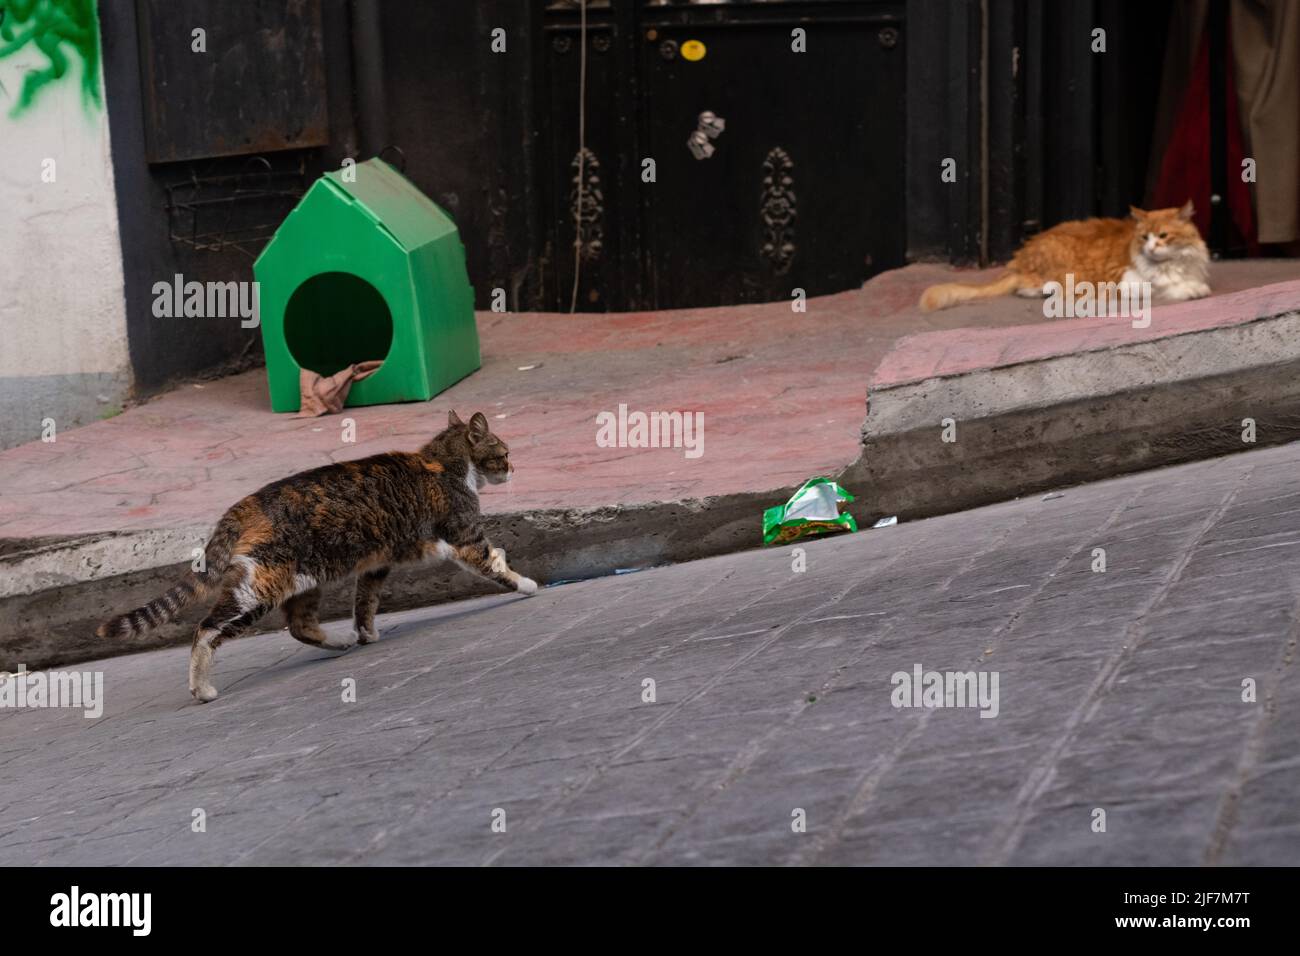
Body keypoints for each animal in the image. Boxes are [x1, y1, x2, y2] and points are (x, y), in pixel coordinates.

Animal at [94, 411, 535, 702]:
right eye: (504, 452)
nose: (514, 468)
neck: (445, 461)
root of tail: (243, 504)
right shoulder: (466, 538)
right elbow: (497, 563)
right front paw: (528, 584)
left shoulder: (376, 564)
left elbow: (365, 602)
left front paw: (366, 633)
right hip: (258, 589)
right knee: (206, 629)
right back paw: (201, 688)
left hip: (304, 578)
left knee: (299, 625)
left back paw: (341, 641)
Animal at [920, 202, 1211, 314]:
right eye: (1144, 237)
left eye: (1163, 235)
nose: (1150, 248)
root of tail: (1019, 259)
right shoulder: (1125, 279)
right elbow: (1164, 285)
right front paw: (1189, 290)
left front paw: (1194, 286)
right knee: (1027, 286)